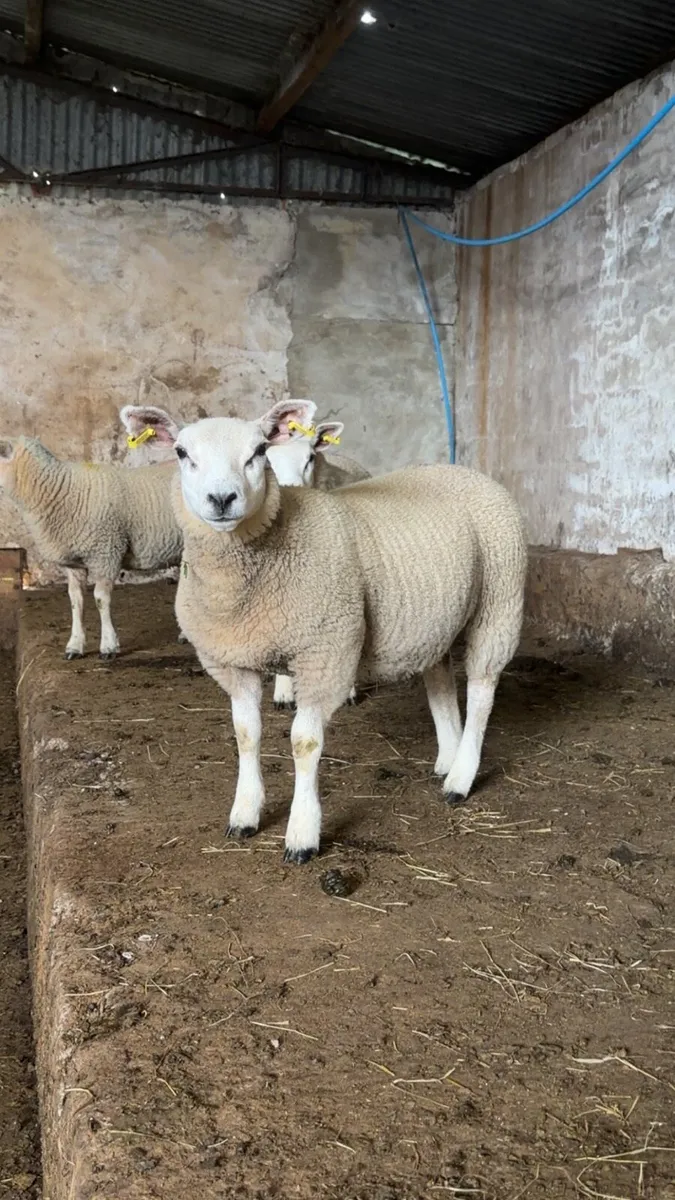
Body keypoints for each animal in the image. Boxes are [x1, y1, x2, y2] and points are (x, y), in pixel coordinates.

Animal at [0, 435, 181, 659]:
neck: (61, 490)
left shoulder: (106, 552)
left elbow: (100, 599)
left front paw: (109, 646)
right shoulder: (75, 563)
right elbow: (76, 600)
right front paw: (75, 646)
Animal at [132, 401, 527, 865]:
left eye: (258, 451)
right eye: (181, 452)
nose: (222, 499)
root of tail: (463, 471)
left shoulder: (324, 651)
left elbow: (304, 743)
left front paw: (302, 833)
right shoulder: (233, 659)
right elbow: (246, 734)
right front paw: (244, 814)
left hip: (500, 600)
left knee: (483, 689)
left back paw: (461, 778)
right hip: (434, 618)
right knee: (441, 681)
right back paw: (447, 758)